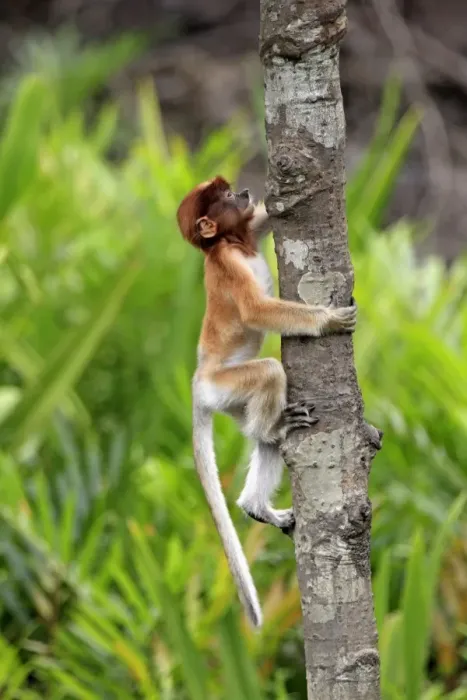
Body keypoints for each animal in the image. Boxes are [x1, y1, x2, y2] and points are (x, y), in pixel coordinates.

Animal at [176, 176, 356, 627]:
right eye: (223, 197)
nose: (240, 193)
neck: (232, 243)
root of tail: (198, 382)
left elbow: (268, 217)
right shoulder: (229, 265)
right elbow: (256, 310)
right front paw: (329, 320)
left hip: (229, 400)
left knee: (267, 443)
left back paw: (256, 505)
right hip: (225, 385)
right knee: (272, 373)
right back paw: (274, 426)